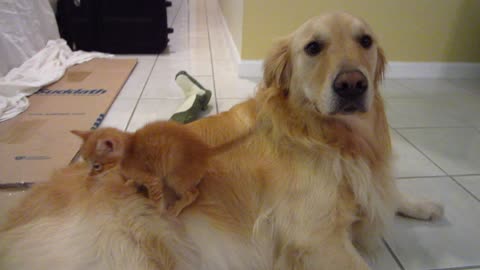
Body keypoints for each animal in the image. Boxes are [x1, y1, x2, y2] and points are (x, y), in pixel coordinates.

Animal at [71, 121, 244, 216]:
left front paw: (155, 211)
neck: (129, 147)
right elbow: (133, 181)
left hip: (174, 178)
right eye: (85, 161)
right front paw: (130, 183)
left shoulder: (152, 179)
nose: (89, 175)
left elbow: (155, 198)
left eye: (97, 166)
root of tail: (204, 150)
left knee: (193, 193)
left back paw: (177, 208)